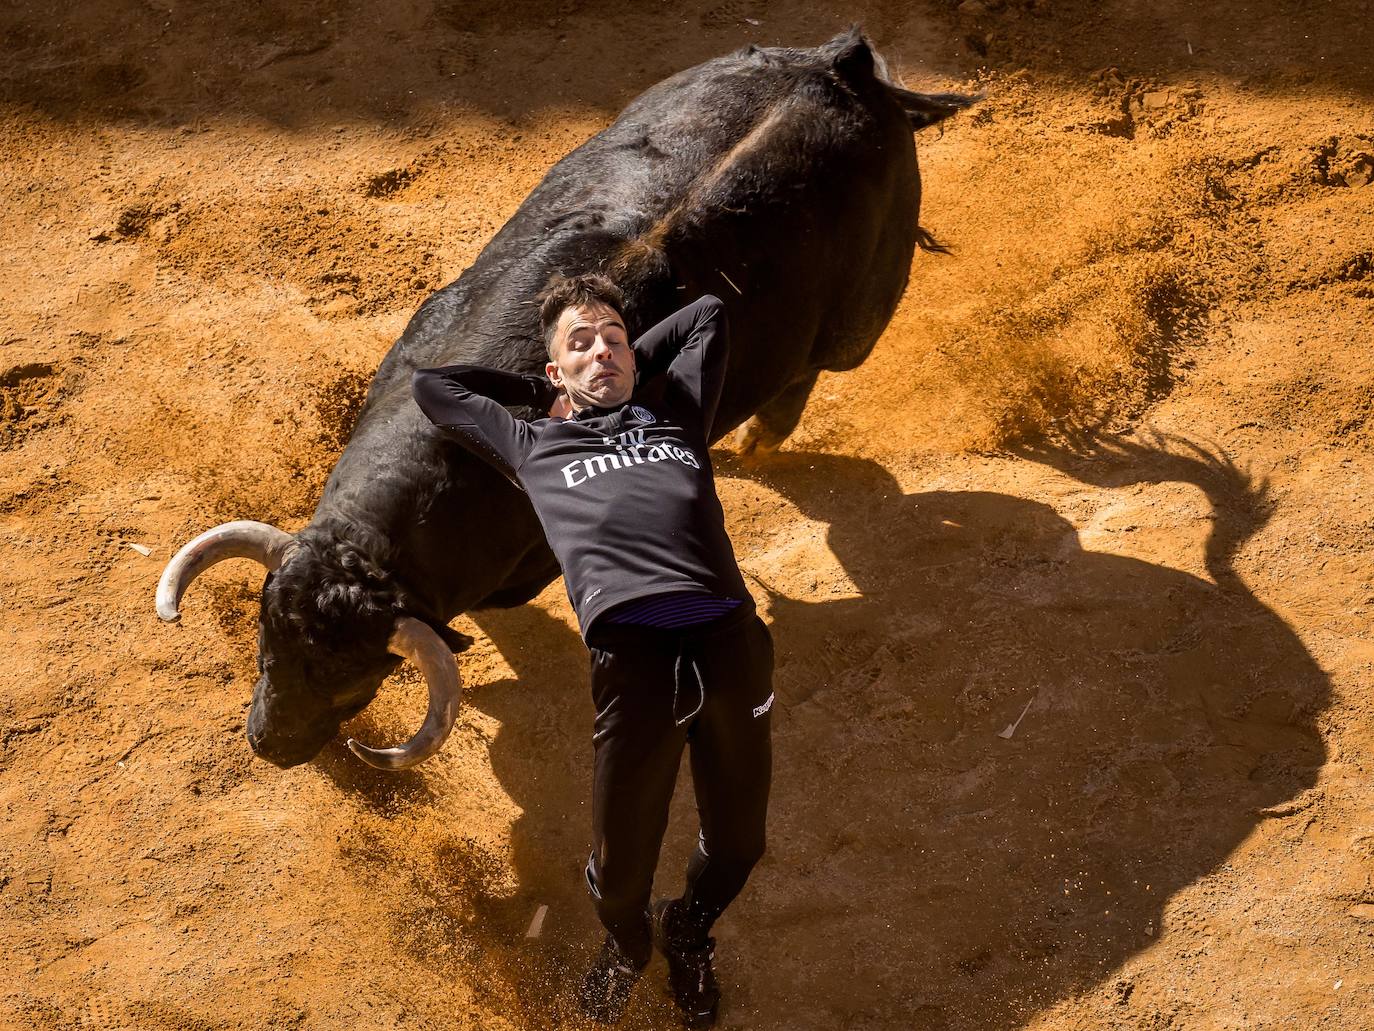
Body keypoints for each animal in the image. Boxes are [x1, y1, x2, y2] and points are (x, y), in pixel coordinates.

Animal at [158, 28, 978, 769]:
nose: (269, 746)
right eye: (265, 645)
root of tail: (840, 64)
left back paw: (753, 445)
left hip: (858, 323)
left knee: (809, 376)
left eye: (355, 681)